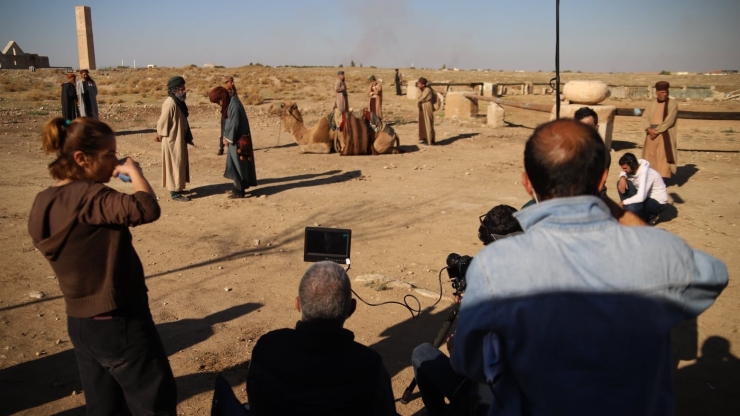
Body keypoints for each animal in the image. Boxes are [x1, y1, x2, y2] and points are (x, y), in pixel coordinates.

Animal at [270, 100, 402, 155]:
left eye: (282, 104)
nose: (270, 107)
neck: (309, 134)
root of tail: (395, 134)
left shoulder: (326, 144)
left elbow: (301, 149)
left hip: (382, 140)